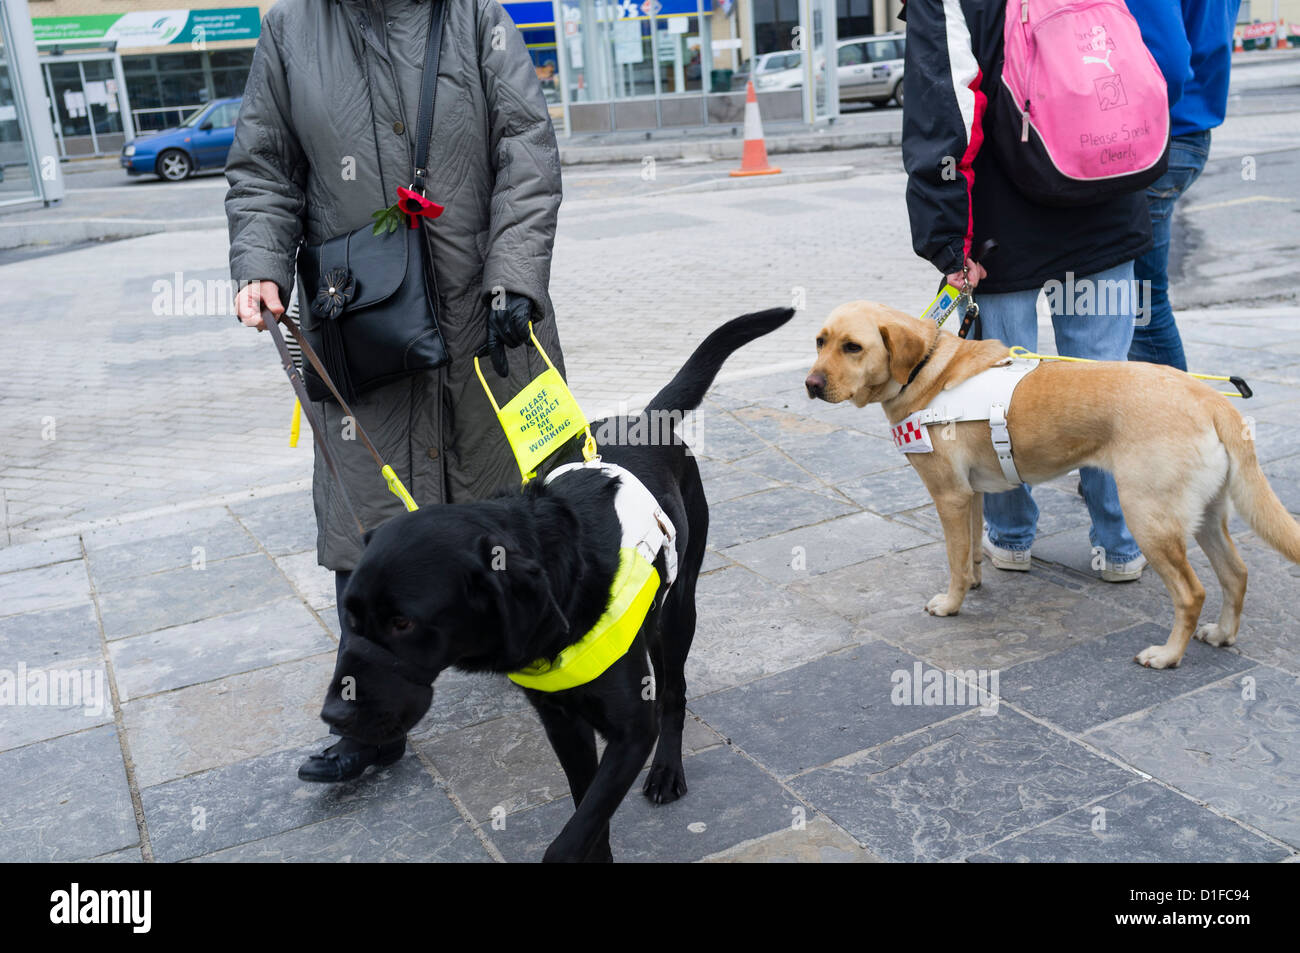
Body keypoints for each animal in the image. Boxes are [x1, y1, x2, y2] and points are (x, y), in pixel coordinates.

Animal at [319, 308, 795, 858]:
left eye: (402, 623)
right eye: (349, 619)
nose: (333, 714)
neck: (559, 586)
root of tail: (644, 416)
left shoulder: (631, 730)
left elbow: (573, 834)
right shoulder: (562, 723)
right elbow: (589, 815)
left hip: (678, 610)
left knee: (674, 692)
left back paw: (667, 772)